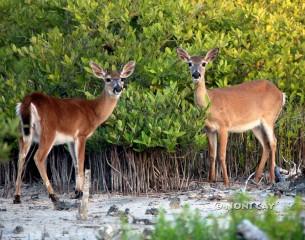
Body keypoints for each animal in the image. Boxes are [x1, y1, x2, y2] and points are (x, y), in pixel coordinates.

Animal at [13, 60, 134, 204]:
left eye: (122, 79)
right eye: (108, 79)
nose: (118, 89)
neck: (93, 112)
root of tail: (29, 101)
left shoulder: (70, 139)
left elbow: (75, 163)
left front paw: (77, 191)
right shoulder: (81, 134)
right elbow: (81, 162)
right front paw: (80, 193)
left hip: (23, 133)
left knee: (21, 157)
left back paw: (17, 197)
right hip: (48, 132)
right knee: (38, 157)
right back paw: (53, 196)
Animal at [176, 47, 284, 186]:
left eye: (204, 63)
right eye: (189, 63)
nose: (196, 74)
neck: (210, 104)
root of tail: (281, 94)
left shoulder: (224, 126)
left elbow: (221, 155)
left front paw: (226, 181)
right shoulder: (209, 129)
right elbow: (212, 154)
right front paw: (211, 179)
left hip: (269, 118)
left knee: (273, 142)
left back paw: (271, 179)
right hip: (256, 125)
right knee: (265, 145)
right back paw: (256, 178)